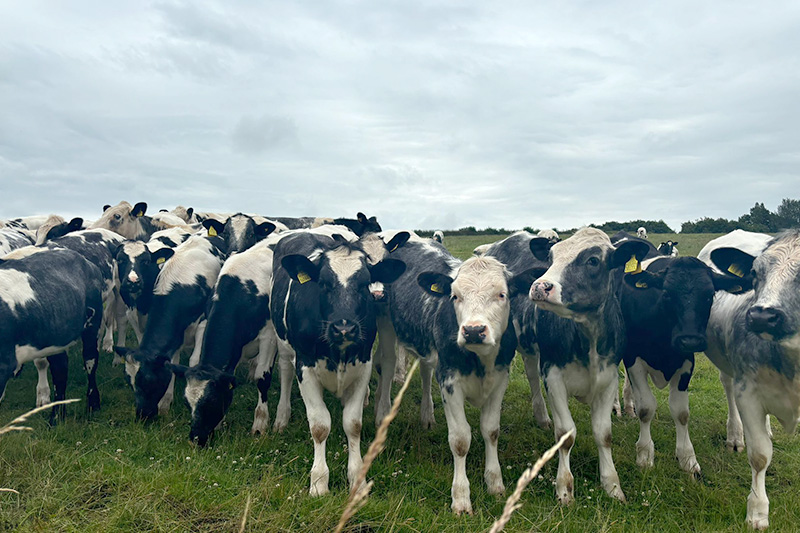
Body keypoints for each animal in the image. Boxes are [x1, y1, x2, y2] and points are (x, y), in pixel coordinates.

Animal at [0, 248, 105, 424]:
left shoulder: (4, 364)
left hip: (92, 324)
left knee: (90, 360)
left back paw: (93, 404)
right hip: (57, 337)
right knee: (60, 371)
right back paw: (57, 416)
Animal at [115, 235, 225, 420]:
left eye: (148, 381)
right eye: (130, 383)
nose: (142, 415)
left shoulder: (202, 323)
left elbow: (194, 361)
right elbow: (173, 362)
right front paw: (166, 402)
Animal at [271, 231, 405, 496]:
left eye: (364, 284)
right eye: (323, 283)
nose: (344, 328)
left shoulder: (362, 366)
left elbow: (352, 424)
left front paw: (357, 479)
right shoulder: (306, 368)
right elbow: (320, 426)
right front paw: (319, 482)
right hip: (284, 345)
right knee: (285, 372)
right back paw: (281, 416)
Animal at [529, 227, 650, 504]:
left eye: (593, 260)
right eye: (551, 257)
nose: (540, 286)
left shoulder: (608, 379)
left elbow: (604, 434)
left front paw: (612, 485)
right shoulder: (553, 377)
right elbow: (565, 434)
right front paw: (564, 488)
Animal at [702, 229, 800, 529]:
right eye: (755, 274)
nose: (762, 316)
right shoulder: (749, 393)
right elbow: (760, 455)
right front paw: (757, 512)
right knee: (728, 387)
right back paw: (735, 435)